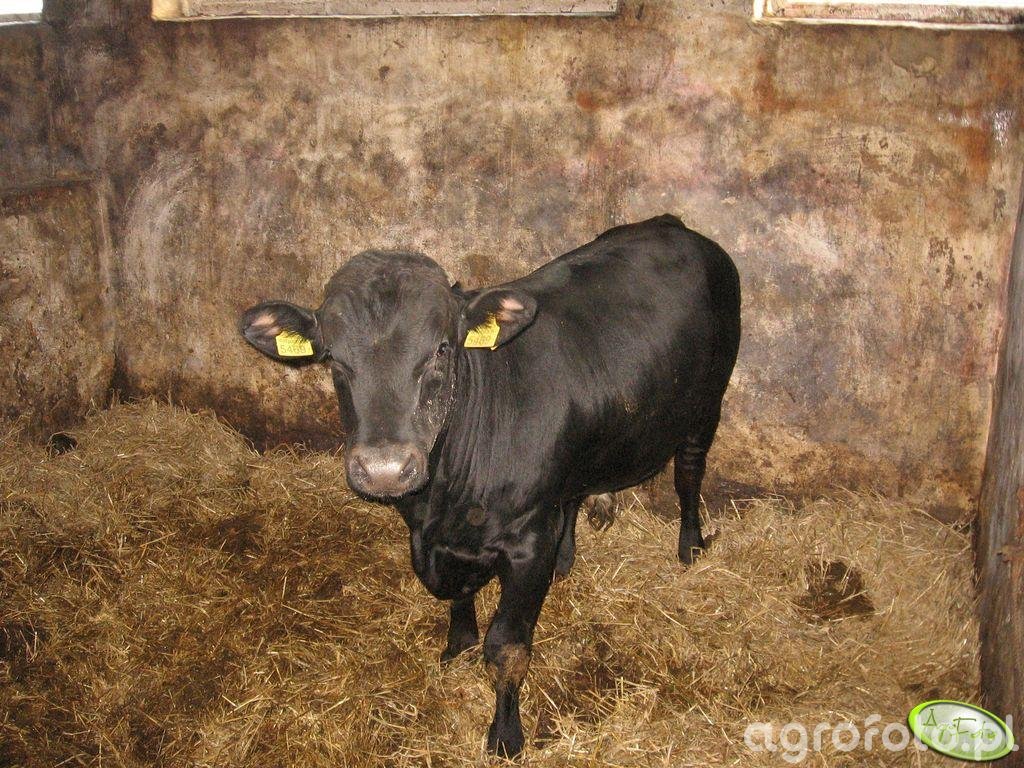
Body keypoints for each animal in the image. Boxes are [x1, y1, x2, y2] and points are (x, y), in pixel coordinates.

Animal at [239, 214, 741, 757]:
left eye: (441, 349)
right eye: (332, 358)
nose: (385, 468)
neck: (440, 500)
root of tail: (676, 225)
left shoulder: (525, 543)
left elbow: (508, 648)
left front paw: (505, 734)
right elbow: (456, 592)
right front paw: (459, 643)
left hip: (706, 405)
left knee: (688, 474)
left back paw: (690, 546)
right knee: (575, 492)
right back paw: (566, 558)